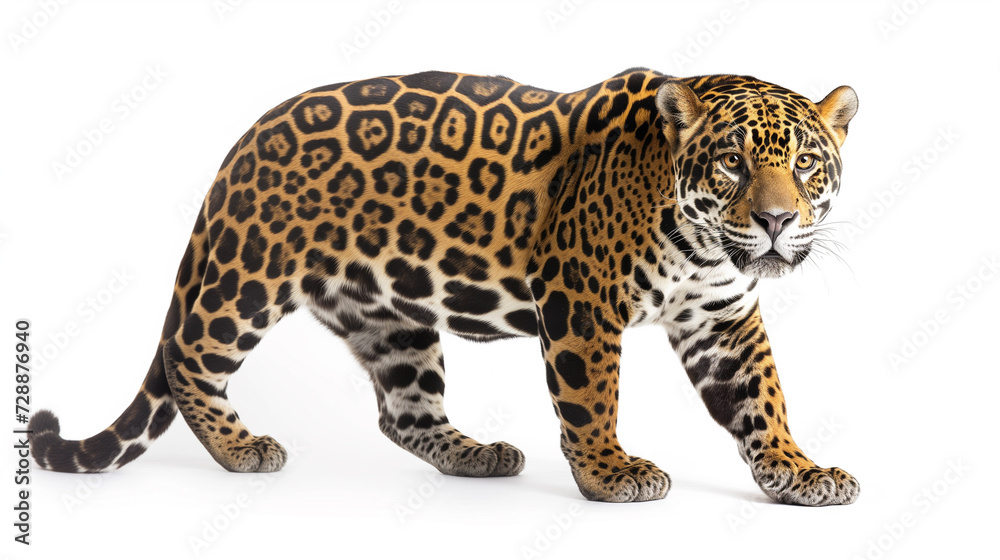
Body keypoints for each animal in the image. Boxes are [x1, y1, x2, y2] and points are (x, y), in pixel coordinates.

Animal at [29, 68, 859, 505]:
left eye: (805, 164)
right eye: (731, 163)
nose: (778, 220)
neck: (701, 245)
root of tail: (245, 141)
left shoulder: (723, 320)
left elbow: (763, 399)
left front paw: (798, 472)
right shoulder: (582, 302)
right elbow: (592, 397)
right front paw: (609, 472)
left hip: (388, 314)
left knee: (402, 411)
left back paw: (476, 455)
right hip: (248, 277)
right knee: (188, 357)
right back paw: (242, 449)